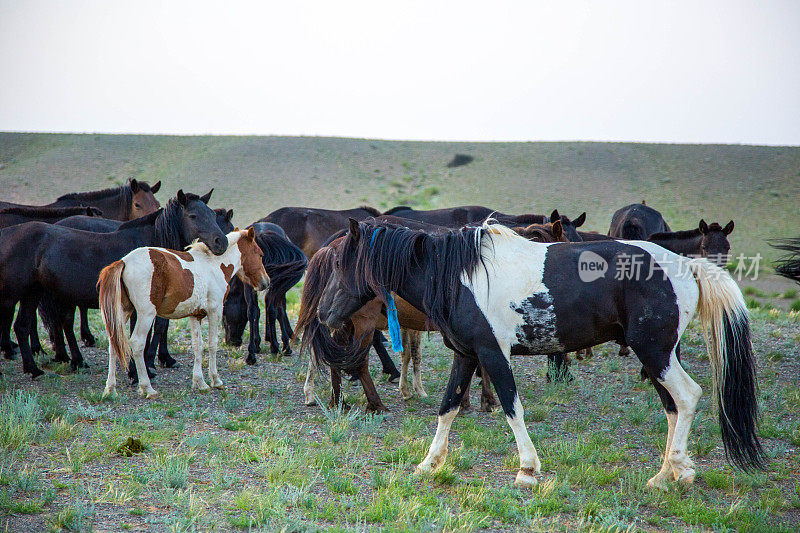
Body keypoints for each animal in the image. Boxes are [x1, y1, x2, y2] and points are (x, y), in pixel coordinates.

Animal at [0, 189, 227, 376]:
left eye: (212, 215)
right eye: (193, 216)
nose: (221, 242)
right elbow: (140, 337)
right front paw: (137, 373)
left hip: (33, 293)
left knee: (26, 325)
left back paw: (44, 367)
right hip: (16, 294)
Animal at [99, 227, 268, 396]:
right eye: (260, 254)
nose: (266, 282)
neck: (214, 265)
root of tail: (124, 261)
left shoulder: (195, 315)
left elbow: (198, 346)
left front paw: (200, 382)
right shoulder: (215, 311)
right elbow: (212, 344)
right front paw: (215, 380)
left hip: (123, 312)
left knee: (114, 342)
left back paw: (110, 389)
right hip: (146, 315)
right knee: (137, 343)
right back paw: (147, 388)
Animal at [223, 220, 308, 362]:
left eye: (223, 314)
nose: (230, 341)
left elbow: (258, 311)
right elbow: (278, 310)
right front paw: (281, 344)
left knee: (254, 310)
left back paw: (252, 354)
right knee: (270, 309)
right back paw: (273, 348)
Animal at [318, 218, 764, 488]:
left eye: (341, 264)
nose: (323, 313)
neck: (459, 274)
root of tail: (689, 267)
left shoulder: (492, 353)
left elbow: (511, 407)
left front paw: (527, 470)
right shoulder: (466, 354)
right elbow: (448, 407)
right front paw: (429, 463)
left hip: (655, 352)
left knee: (688, 397)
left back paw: (679, 469)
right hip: (655, 356)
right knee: (672, 407)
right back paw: (663, 474)